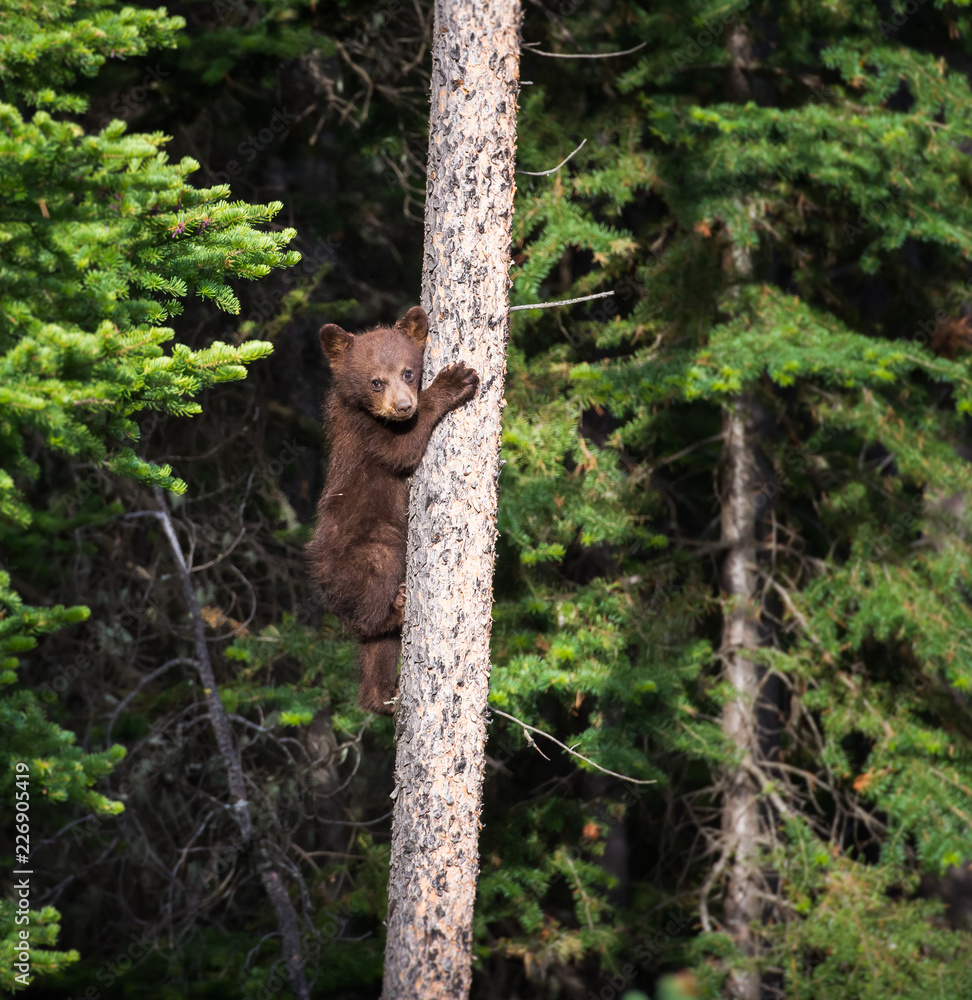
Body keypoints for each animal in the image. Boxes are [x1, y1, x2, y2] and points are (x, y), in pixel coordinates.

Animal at [308, 305, 480, 715]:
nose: (403, 406)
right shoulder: (365, 436)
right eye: (375, 382)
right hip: (368, 550)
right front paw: (454, 381)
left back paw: (382, 697)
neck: (360, 409)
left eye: (408, 372)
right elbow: (403, 449)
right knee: (374, 602)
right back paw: (397, 609)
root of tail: (322, 581)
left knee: (375, 649)